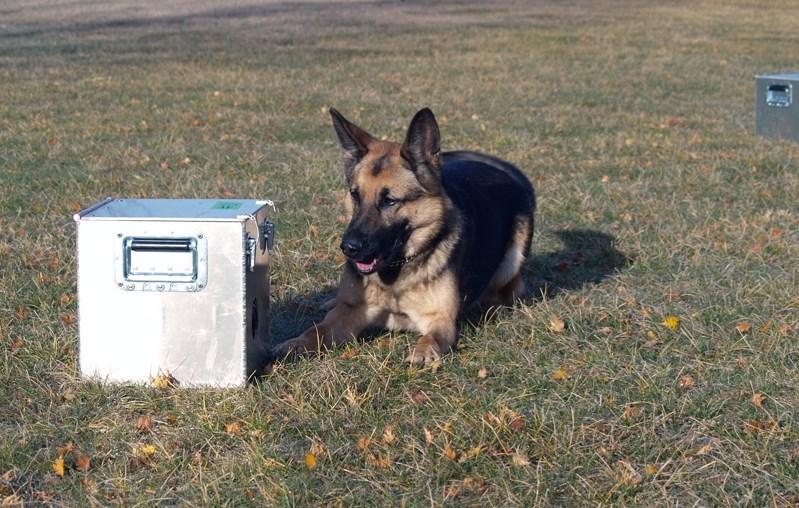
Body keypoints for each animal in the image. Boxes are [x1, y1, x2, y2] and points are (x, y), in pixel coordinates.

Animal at [276, 107, 536, 364]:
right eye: (355, 195)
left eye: (390, 201)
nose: (348, 248)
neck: (396, 273)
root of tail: (506, 171)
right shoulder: (348, 311)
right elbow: (316, 330)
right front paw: (295, 344)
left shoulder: (440, 320)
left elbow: (432, 338)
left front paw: (423, 352)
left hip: (513, 259)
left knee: (507, 290)